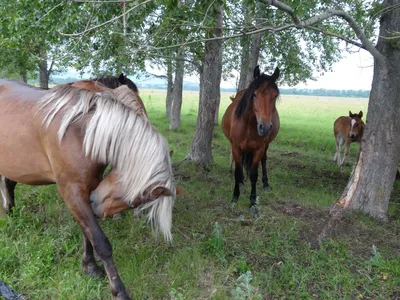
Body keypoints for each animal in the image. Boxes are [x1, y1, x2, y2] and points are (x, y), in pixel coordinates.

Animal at [0, 80, 175, 300]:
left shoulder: (88, 188)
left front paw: (89, 266)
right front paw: (119, 290)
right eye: (133, 200)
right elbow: (100, 241)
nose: (97, 204)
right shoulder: (72, 193)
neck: (82, 131)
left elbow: (87, 233)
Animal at [222, 66, 282, 214]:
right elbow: (237, 171)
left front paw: (253, 202)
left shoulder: (259, 149)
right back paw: (242, 181)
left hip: (265, 146)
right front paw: (234, 198)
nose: (265, 127)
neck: (248, 125)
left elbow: (254, 174)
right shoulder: (236, 147)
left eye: (275, 96)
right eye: (254, 94)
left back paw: (265, 183)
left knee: (264, 160)